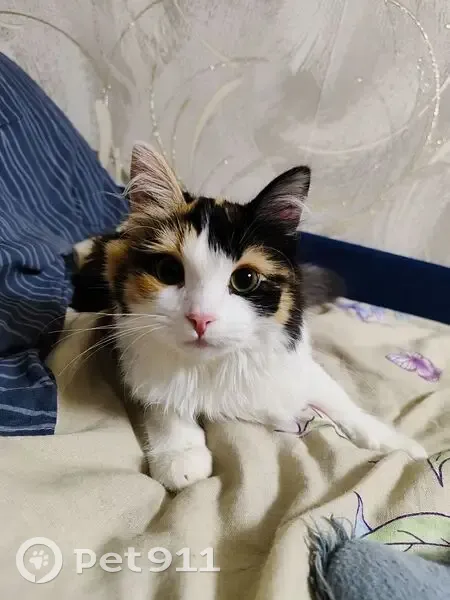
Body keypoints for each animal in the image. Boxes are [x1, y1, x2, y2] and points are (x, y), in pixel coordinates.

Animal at [72, 142, 426, 492]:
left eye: (245, 280)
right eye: (169, 271)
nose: (200, 319)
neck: (212, 367)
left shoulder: (297, 363)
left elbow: (340, 401)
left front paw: (398, 443)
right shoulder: (131, 350)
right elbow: (163, 401)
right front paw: (181, 455)